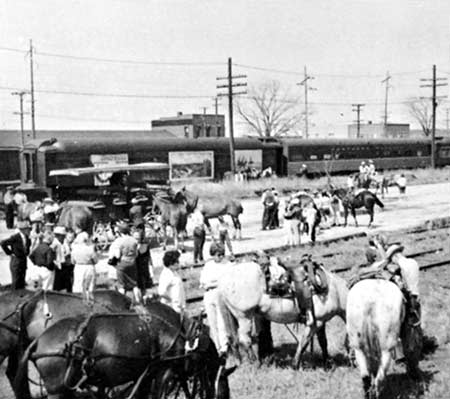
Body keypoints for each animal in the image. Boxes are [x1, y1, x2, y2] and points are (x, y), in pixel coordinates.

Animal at [217, 262, 348, 368]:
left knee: (235, 339)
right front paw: (295, 364)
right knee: (245, 340)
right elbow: (304, 343)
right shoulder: (316, 323)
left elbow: (323, 342)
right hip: (244, 316)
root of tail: (223, 281)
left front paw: (327, 363)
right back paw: (256, 363)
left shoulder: (321, 321)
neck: (334, 291)